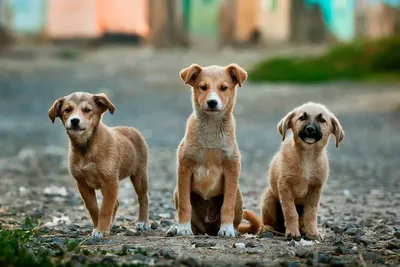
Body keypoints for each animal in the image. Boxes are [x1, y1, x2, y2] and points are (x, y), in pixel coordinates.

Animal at [48, 92, 150, 239]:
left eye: (87, 110)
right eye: (67, 110)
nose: (74, 121)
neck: (86, 147)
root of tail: (132, 129)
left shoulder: (110, 182)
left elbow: (105, 209)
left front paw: (101, 230)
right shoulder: (83, 184)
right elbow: (94, 208)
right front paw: (99, 227)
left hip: (139, 175)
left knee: (143, 198)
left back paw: (143, 222)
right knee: (116, 203)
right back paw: (111, 225)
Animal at [167, 63, 260, 238]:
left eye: (223, 88)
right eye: (203, 87)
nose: (212, 102)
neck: (211, 127)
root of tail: (208, 229)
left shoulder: (232, 168)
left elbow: (227, 205)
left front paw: (227, 228)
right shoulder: (184, 168)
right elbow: (185, 205)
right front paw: (183, 228)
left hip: (238, 194)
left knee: (235, 217)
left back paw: (232, 229)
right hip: (177, 191)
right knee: (193, 221)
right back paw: (178, 228)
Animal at [260, 102, 346, 241]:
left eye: (322, 120)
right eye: (302, 118)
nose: (310, 129)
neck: (307, 156)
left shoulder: (315, 189)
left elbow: (311, 214)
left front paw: (313, 233)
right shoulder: (284, 186)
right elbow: (290, 212)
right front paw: (292, 232)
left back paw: (304, 229)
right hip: (269, 198)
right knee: (269, 222)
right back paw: (268, 229)